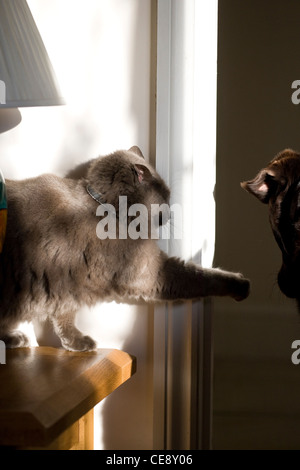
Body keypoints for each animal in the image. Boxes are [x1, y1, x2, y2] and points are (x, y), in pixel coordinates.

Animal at [0, 147, 248, 348]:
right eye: (166, 196)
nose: (170, 212)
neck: (107, 210)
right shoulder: (149, 271)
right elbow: (201, 277)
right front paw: (241, 284)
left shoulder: (66, 285)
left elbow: (65, 317)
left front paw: (76, 343)